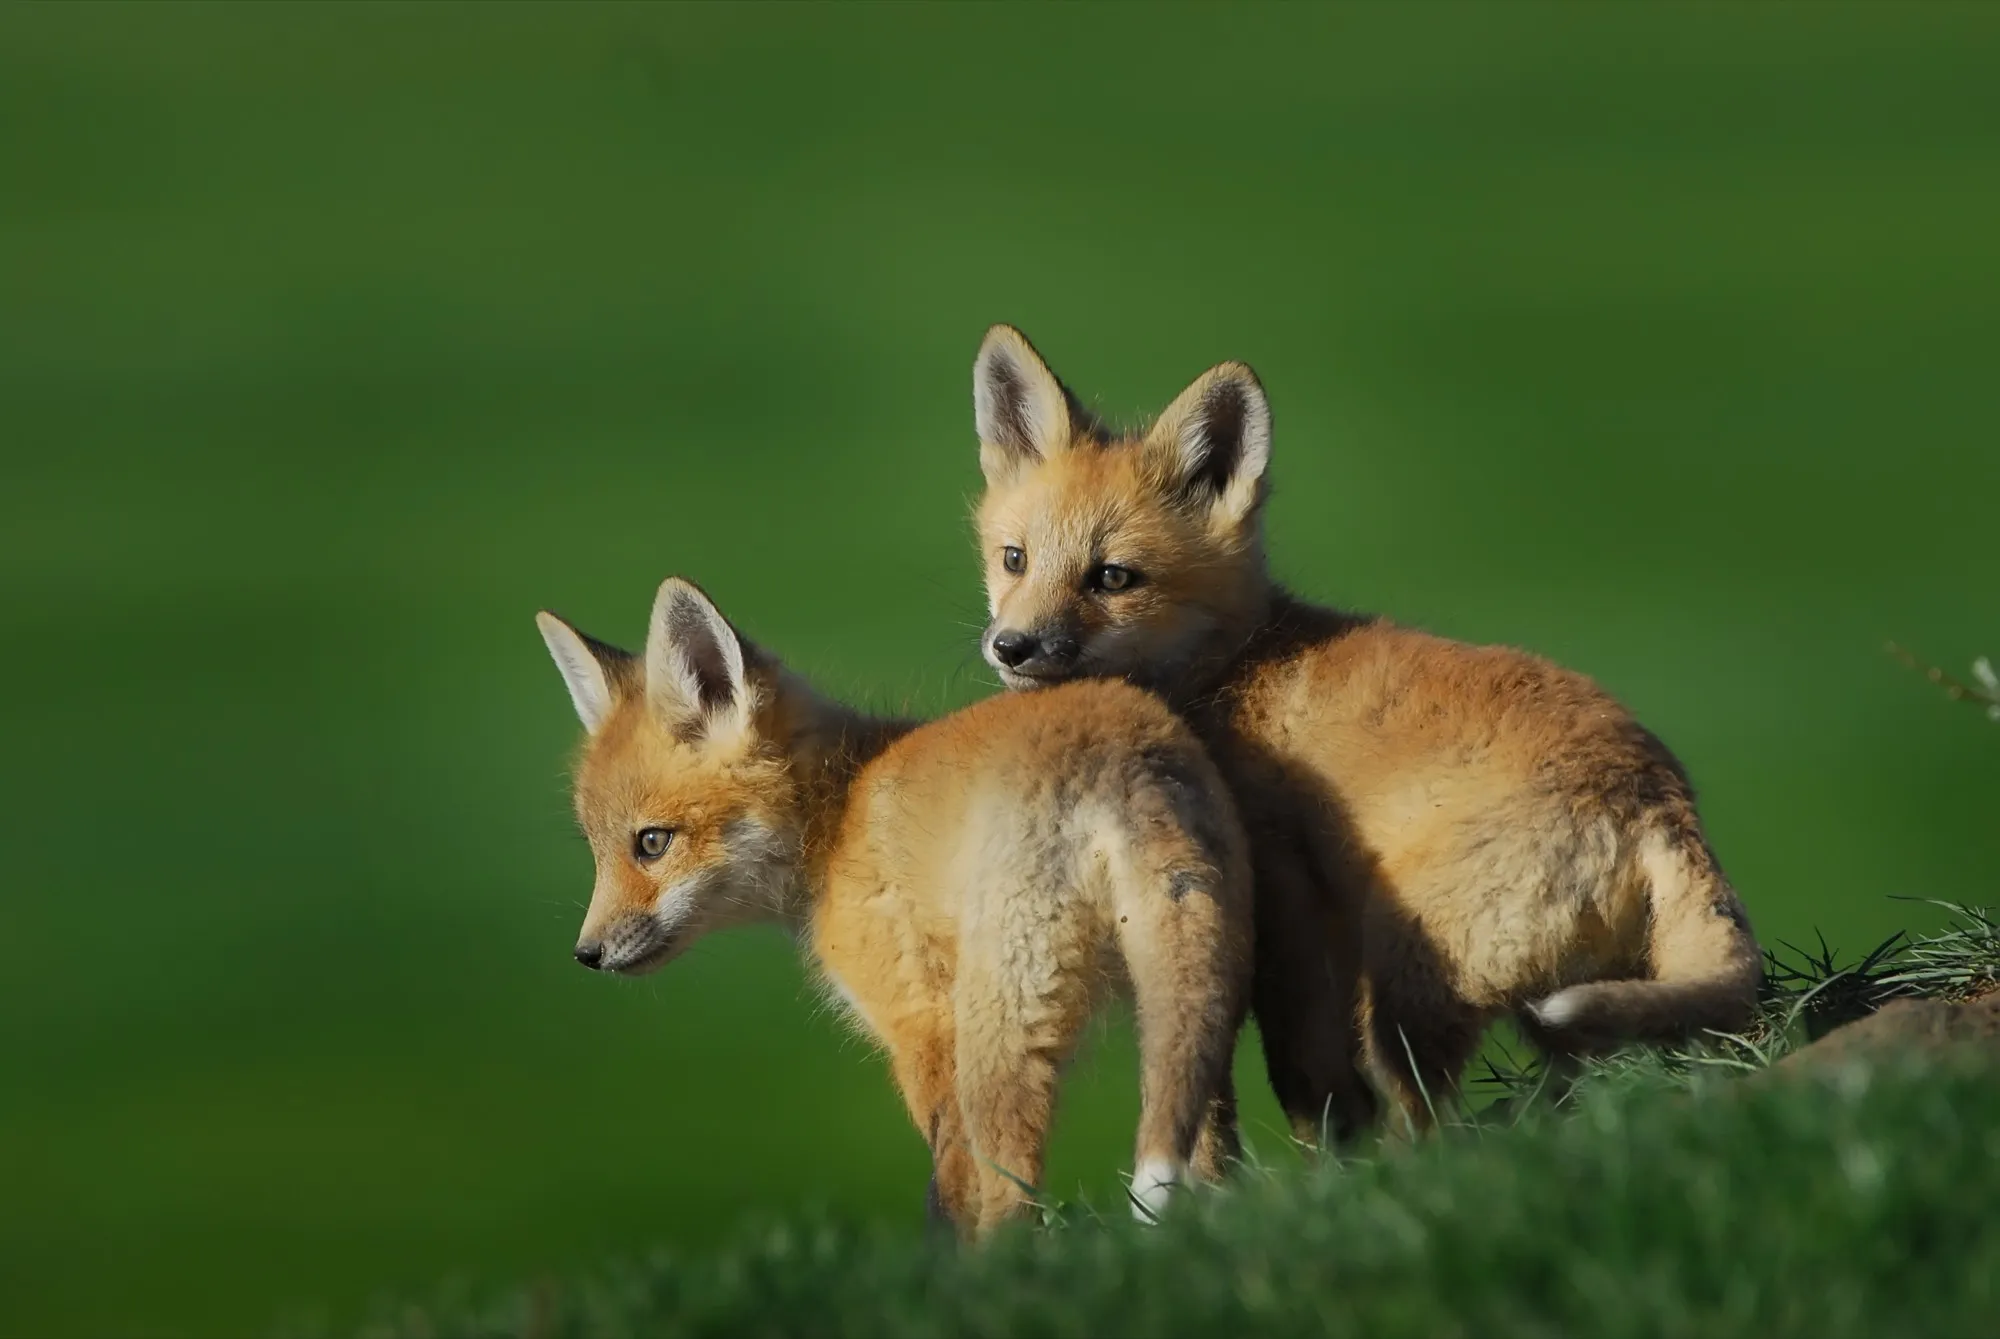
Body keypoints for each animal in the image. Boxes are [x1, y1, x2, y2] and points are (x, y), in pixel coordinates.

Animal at [535, 576, 1253, 1235]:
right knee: (1211, 1155)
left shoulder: (921, 1026)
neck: (837, 817)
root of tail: (1117, 757)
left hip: (1000, 1035)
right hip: (1187, 989)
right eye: (598, 850)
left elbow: (949, 1194)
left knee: (1013, 1198)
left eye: (652, 843)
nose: (585, 954)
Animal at [967, 324, 1763, 1139]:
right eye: (1014, 559)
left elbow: (1307, 1077)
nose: (1011, 647)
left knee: (1432, 1120)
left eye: (1112, 577)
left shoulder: (1288, 896)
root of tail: (1660, 799)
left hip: (1407, 984)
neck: (1240, 666)